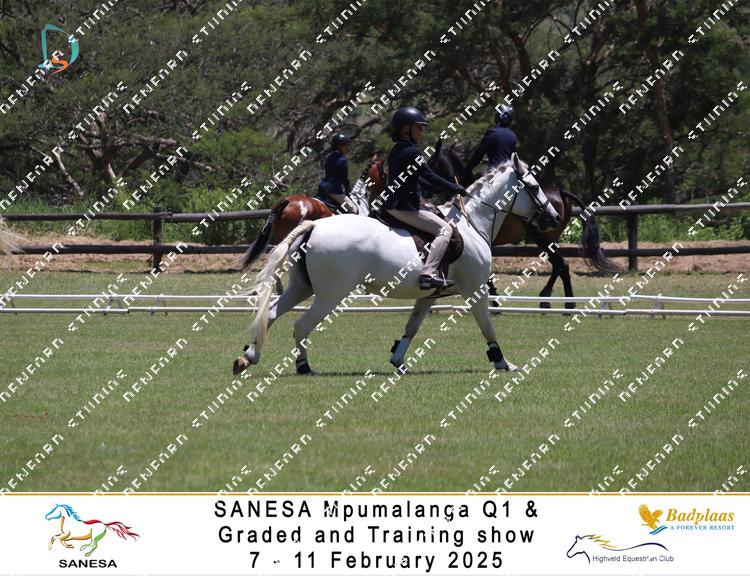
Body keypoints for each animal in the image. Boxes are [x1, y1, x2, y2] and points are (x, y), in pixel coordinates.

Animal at [430, 146, 620, 309]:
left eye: (430, 163)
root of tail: (560, 192)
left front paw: (494, 302)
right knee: (559, 265)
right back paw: (551, 299)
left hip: (542, 238)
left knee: (561, 265)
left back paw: (563, 303)